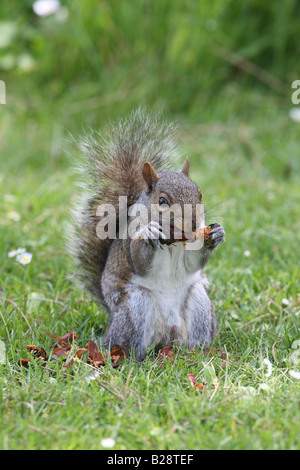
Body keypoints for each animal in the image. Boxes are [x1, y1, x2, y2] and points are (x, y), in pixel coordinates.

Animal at [69, 109, 225, 360]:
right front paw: (149, 234)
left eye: (200, 194)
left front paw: (216, 234)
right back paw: (132, 359)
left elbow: (193, 263)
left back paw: (199, 353)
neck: (173, 241)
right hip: (135, 307)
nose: (193, 222)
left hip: (199, 301)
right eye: (162, 201)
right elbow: (140, 262)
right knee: (130, 343)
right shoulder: (132, 237)